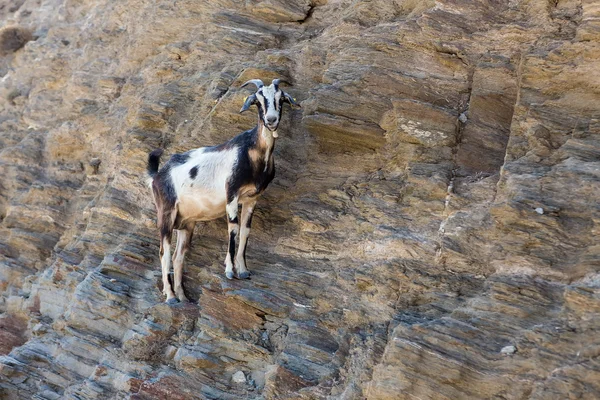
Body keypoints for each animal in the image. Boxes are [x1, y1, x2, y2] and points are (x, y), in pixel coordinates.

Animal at [146, 77, 300, 304]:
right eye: (258, 100)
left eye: (280, 99)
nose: (271, 119)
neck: (252, 152)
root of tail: (156, 177)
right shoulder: (231, 195)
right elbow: (233, 230)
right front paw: (229, 271)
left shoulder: (252, 199)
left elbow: (245, 231)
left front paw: (243, 270)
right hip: (166, 214)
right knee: (163, 253)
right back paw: (171, 296)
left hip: (186, 223)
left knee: (178, 256)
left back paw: (183, 297)